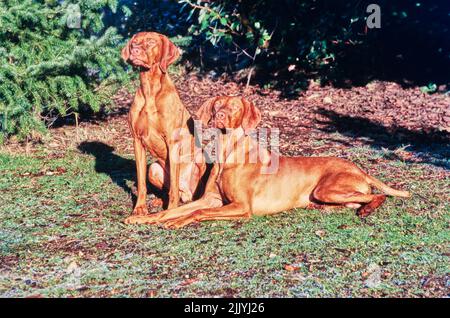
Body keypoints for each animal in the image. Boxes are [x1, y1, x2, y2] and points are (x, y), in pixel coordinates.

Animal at [123, 31, 207, 219]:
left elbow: (173, 188)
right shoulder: (137, 141)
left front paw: (171, 210)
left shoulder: (172, 142)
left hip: (200, 158)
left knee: (186, 191)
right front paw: (139, 208)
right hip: (154, 168)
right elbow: (141, 183)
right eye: (134, 43)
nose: (135, 50)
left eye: (151, 42)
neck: (150, 90)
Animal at [125, 95, 410, 227]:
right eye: (217, 105)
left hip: (327, 188)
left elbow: (197, 212)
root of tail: (359, 168)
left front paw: (178, 221)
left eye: (235, 107)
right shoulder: (210, 199)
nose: (220, 115)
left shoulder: (242, 206)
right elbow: (175, 209)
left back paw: (368, 209)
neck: (228, 153)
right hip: (327, 195)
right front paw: (145, 218)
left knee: (375, 195)